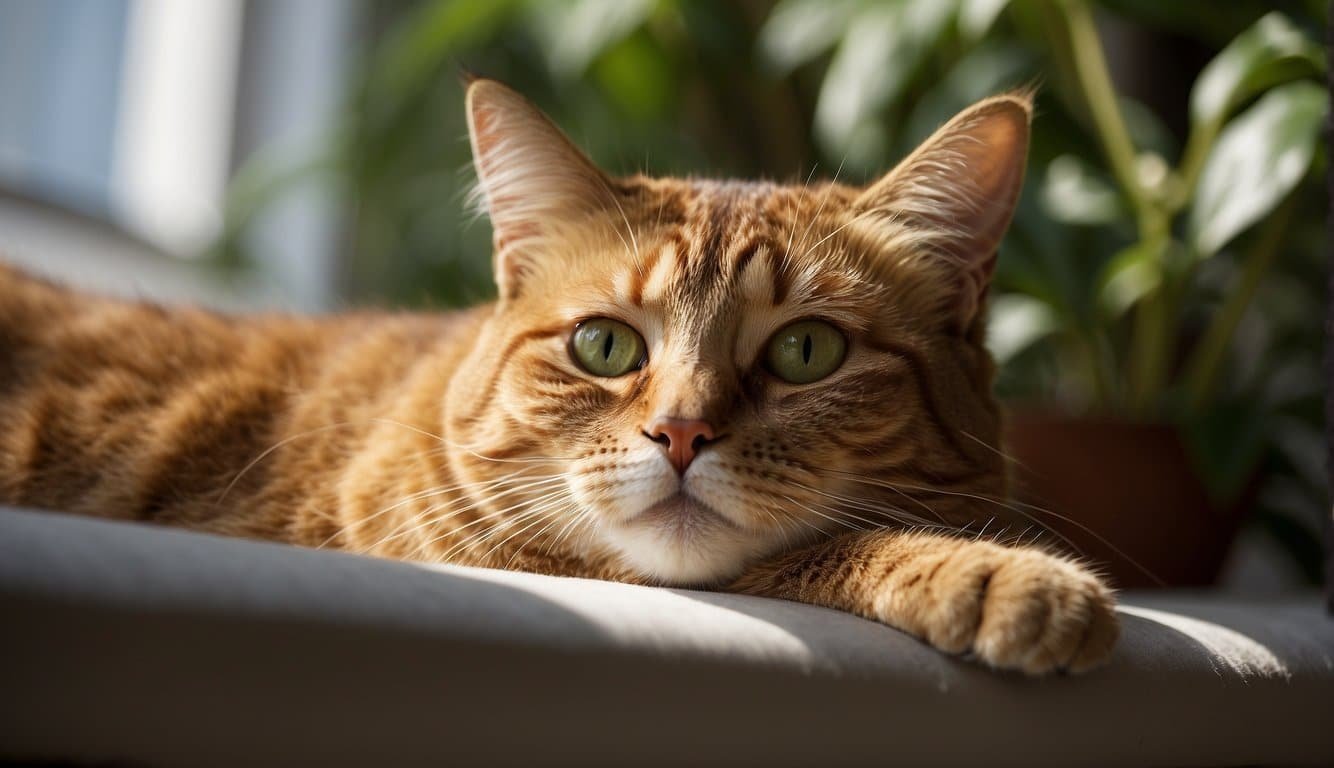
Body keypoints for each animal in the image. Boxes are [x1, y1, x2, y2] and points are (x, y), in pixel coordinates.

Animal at [0, 81, 1115, 674]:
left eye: (806, 352)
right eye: (605, 347)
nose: (680, 433)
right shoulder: (439, 537)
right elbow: (805, 550)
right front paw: (997, 574)